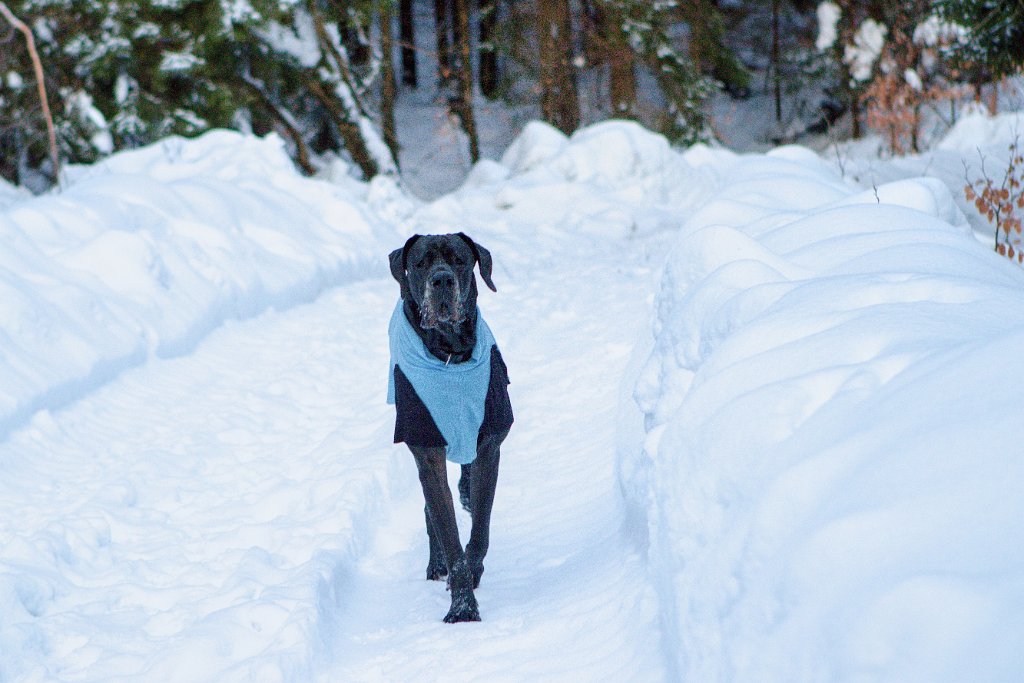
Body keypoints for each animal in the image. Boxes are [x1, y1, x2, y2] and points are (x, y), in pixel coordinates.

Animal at [385, 233, 512, 626]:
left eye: (459, 259)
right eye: (421, 262)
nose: (442, 280)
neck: (449, 352)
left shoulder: (489, 444)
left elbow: (480, 529)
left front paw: (473, 575)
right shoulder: (427, 450)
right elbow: (447, 529)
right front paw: (463, 608)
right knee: (431, 512)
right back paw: (436, 565)